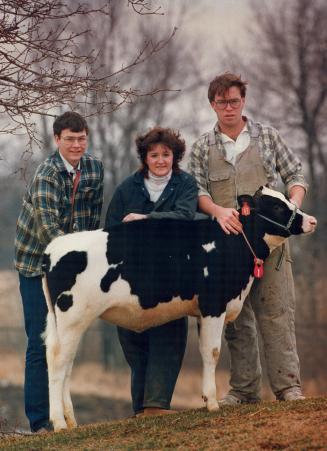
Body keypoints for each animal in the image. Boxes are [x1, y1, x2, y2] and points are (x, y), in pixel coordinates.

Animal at [41, 187, 318, 430]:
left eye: (287, 198)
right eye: (277, 206)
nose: (312, 220)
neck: (230, 243)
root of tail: (53, 248)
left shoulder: (203, 310)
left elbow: (205, 350)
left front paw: (207, 399)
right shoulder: (214, 305)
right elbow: (213, 352)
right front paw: (212, 403)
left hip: (66, 323)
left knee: (66, 363)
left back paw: (71, 421)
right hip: (72, 317)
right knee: (57, 362)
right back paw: (58, 423)